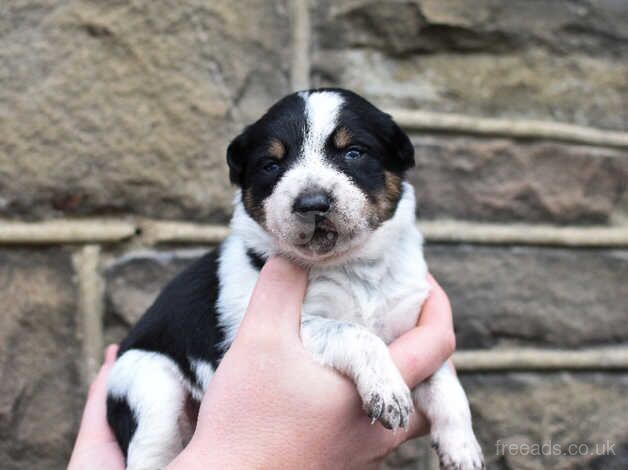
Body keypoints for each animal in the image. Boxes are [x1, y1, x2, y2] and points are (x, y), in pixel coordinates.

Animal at [105, 89, 484, 470]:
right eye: (271, 165)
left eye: (353, 152)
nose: (312, 203)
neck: (351, 265)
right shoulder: (281, 325)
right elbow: (354, 332)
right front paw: (387, 389)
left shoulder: (409, 322)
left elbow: (444, 379)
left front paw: (462, 445)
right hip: (148, 386)